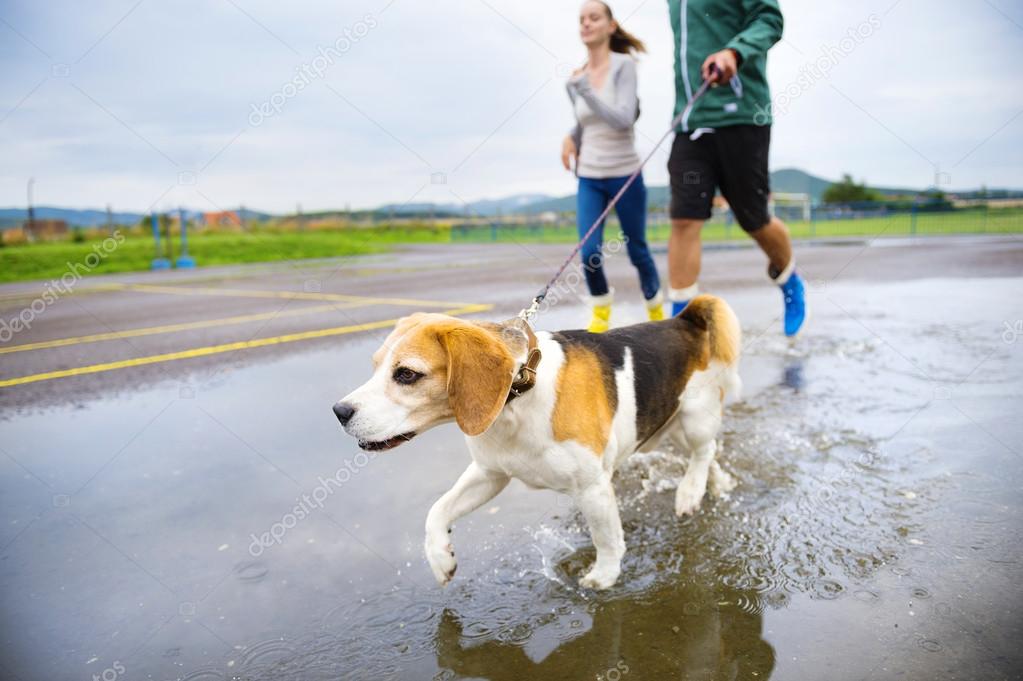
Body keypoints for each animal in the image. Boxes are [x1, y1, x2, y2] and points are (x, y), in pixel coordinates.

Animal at [335, 294, 744, 584]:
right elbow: (437, 511)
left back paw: (690, 491)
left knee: (704, 450)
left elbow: (607, 538)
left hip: (694, 419)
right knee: (708, 455)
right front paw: (440, 558)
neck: (519, 393)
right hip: (667, 426)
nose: (339, 411)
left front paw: (603, 577)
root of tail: (683, 319)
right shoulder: (489, 474)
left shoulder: (593, 487)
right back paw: (714, 484)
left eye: (406, 374)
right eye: (376, 366)